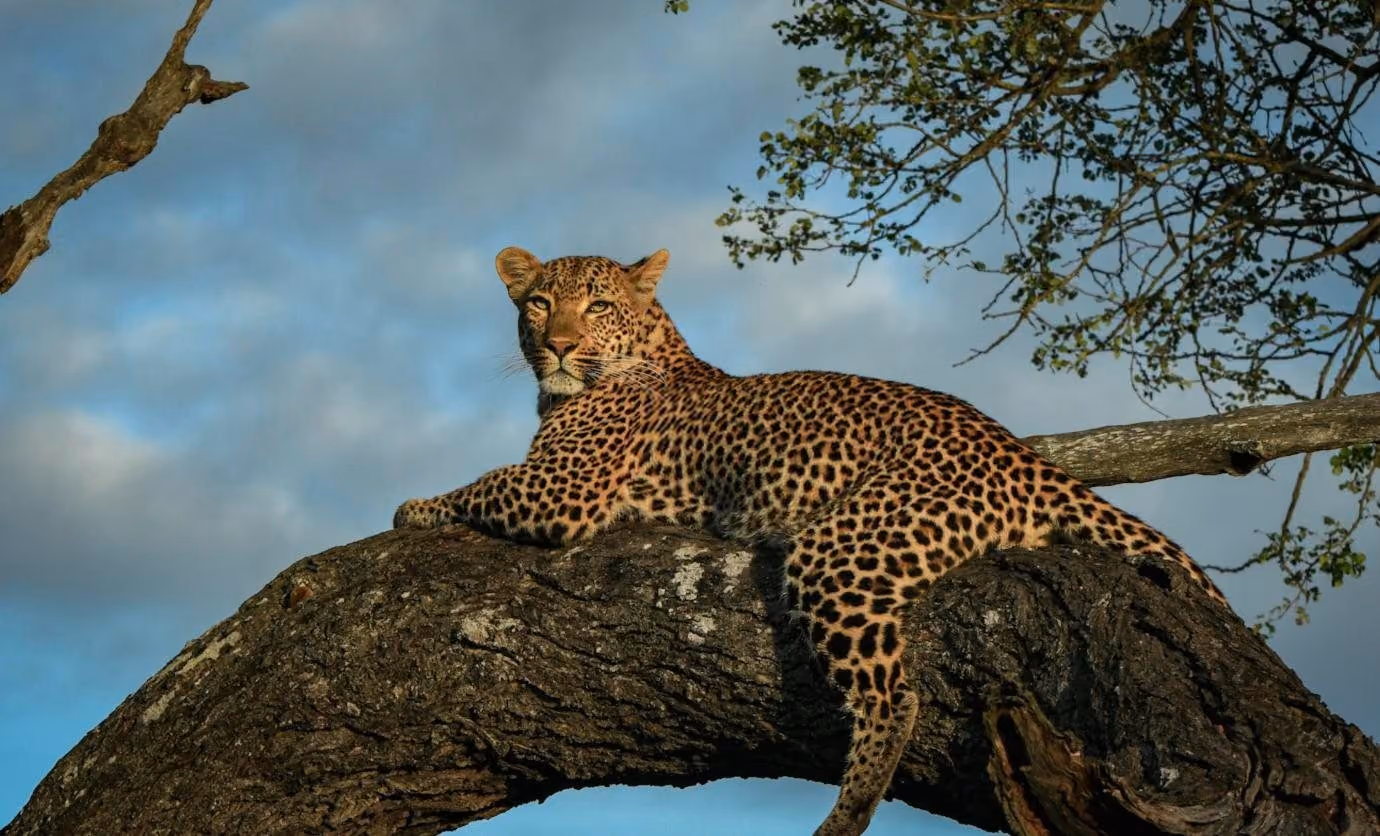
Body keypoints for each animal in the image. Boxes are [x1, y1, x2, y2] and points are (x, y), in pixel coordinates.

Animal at [393, 246, 1228, 836]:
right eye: (539, 302)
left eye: (596, 304)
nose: (560, 345)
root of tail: (1022, 454)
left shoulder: (564, 490)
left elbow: (480, 483)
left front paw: (414, 507)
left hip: (842, 549)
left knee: (895, 698)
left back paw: (843, 818)